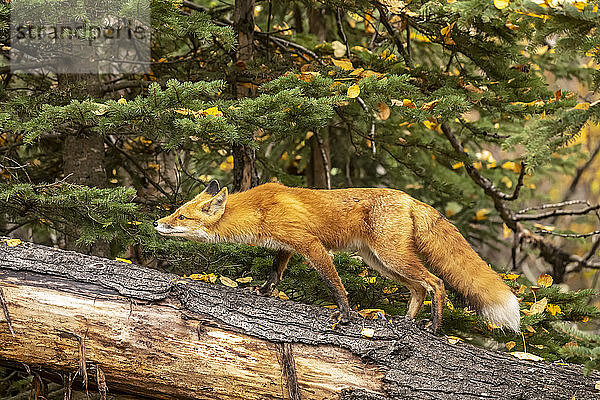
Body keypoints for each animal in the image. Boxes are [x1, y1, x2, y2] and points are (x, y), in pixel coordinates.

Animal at [155, 180, 520, 332]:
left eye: (182, 217)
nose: (157, 223)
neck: (259, 209)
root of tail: (410, 199)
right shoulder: (287, 246)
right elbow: (274, 273)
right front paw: (262, 292)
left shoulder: (310, 244)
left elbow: (334, 282)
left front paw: (345, 315)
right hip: (380, 262)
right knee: (418, 288)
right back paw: (406, 321)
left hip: (392, 257)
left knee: (436, 283)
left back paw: (434, 326)